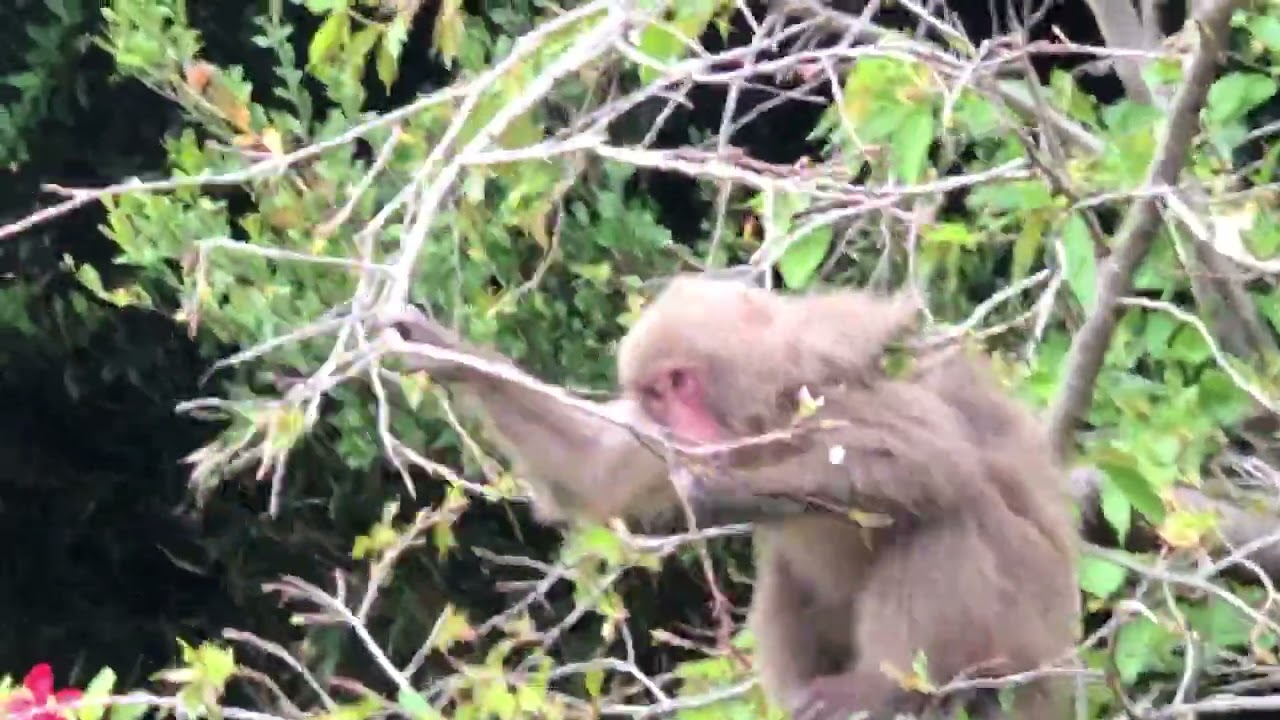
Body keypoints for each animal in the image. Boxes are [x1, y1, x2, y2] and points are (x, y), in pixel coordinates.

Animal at [376, 272, 1080, 717]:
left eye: (682, 382)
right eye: (656, 394)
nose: (680, 426)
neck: (762, 406)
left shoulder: (828, 373)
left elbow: (926, 453)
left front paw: (722, 488)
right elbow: (594, 471)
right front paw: (449, 356)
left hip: (1023, 626)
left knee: (947, 512)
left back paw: (889, 687)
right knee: (793, 565)